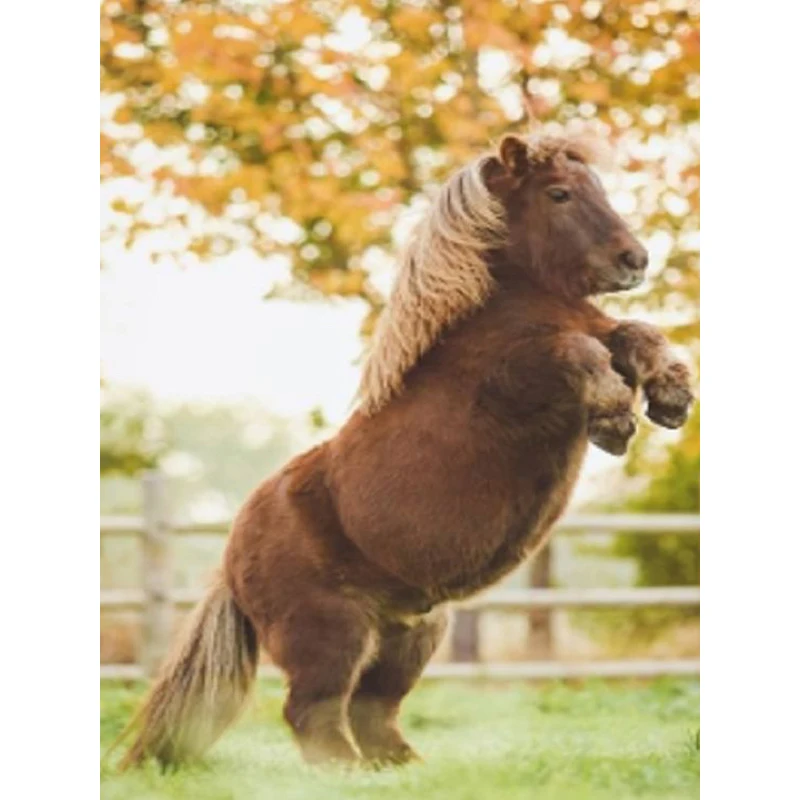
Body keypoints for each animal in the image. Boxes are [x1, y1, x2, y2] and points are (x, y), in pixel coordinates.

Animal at [118, 132, 693, 769]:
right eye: (559, 193)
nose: (634, 260)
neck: (500, 314)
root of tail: (230, 556)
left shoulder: (596, 326)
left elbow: (636, 332)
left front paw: (671, 399)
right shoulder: (517, 375)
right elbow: (577, 351)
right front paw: (615, 421)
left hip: (411, 633)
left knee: (374, 711)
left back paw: (403, 769)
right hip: (330, 631)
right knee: (313, 711)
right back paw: (347, 773)